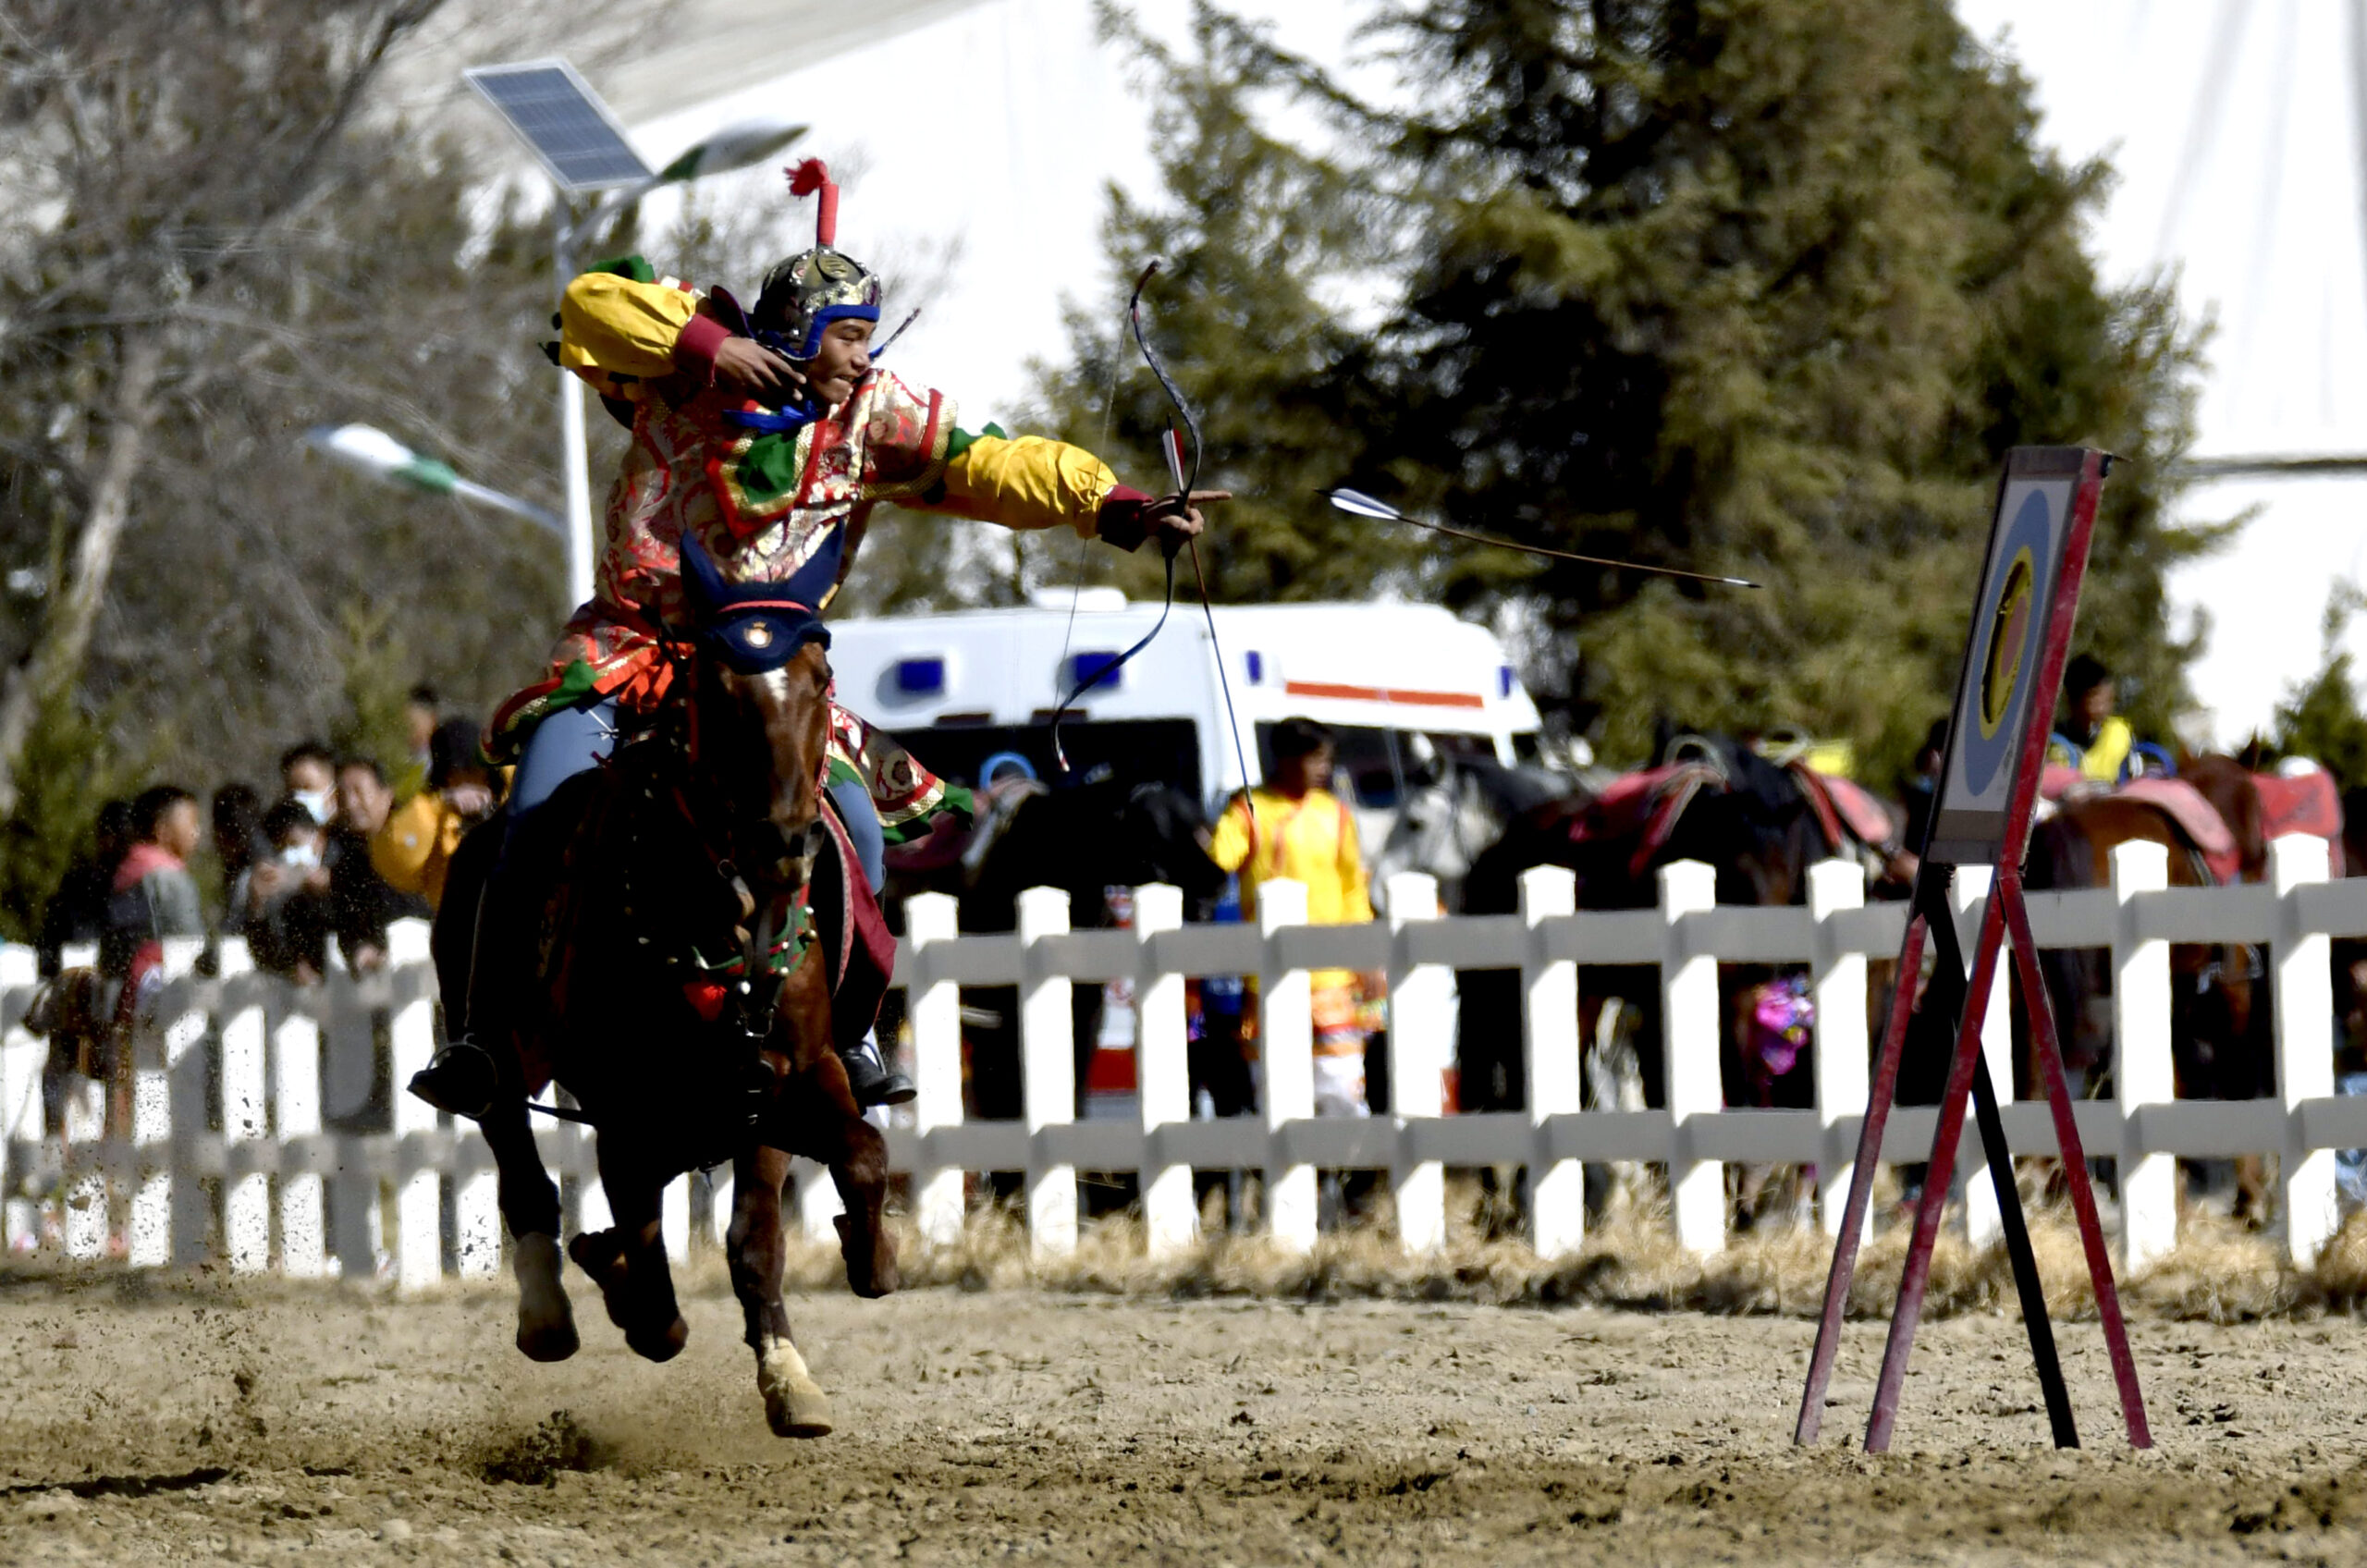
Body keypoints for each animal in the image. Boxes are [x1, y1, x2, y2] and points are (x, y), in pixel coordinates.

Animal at [435, 533, 894, 1438]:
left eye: (822, 677)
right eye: (714, 688)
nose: (782, 842)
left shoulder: (787, 1082)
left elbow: (814, 1194)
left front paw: (838, 1309)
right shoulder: (626, 1111)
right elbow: (654, 1301)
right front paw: (610, 1273)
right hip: (497, 1054)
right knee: (520, 1165)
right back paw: (548, 1312)